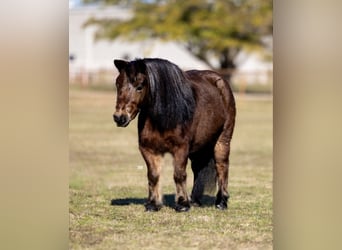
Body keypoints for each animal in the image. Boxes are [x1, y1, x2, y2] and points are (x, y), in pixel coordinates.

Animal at [112, 57, 235, 212]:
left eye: (139, 86)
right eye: (117, 84)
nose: (119, 118)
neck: (164, 117)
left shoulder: (181, 149)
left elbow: (179, 175)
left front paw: (182, 204)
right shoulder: (148, 149)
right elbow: (153, 175)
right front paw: (153, 204)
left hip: (222, 140)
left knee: (222, 166)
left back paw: (221, 202)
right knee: (198, 169)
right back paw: (195, 200)